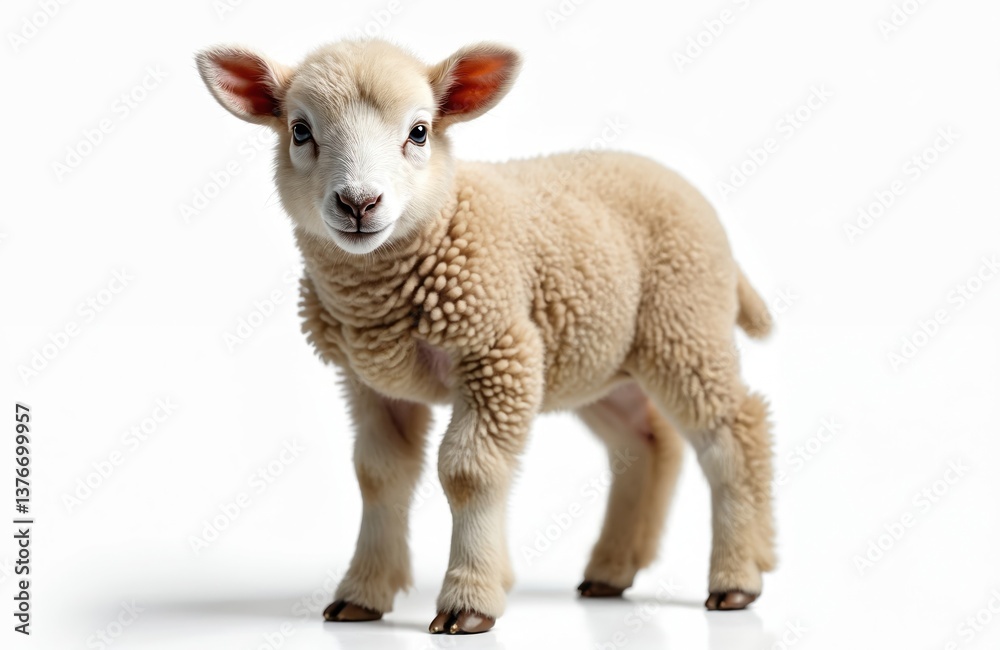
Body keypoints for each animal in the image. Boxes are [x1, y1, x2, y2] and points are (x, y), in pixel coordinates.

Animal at [196, 38, 776, 635]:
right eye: (300, 131)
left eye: (420, 131)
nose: (358, 203)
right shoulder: (372, 381)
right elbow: (379, 476)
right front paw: (363, 593)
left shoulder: (497, 351)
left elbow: (469, 472)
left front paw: (469, 599)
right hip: (597, 359)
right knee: (645, 441)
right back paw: (612, 570)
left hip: (685, 323)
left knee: (734, 429)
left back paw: (736, 578)